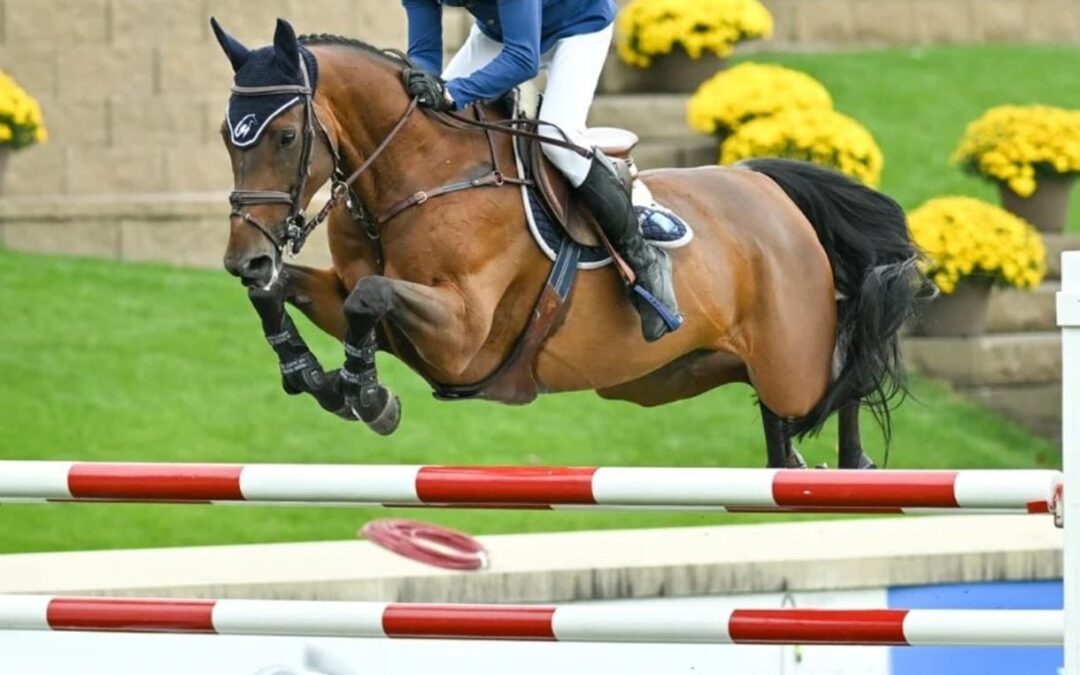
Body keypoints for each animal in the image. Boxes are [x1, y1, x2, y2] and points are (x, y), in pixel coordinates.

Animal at [212, 17, 928, 468]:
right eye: (227, 135)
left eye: (285, 136)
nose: (243, 257)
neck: (415, 176)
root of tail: (765, 183)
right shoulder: (379, 312)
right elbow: (285, 292)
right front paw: (313, 375)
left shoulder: (462, 335)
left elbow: (370, 293)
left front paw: (366, 393)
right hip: (685, 371)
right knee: (779, 411)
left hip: (792, 360)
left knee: (844, 371)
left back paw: (855, 463)